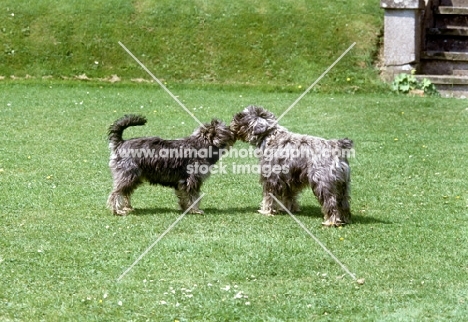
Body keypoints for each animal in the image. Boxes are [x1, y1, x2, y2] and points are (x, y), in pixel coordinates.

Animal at [108, 114, 236, 215]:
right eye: (226, 130)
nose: (233, 131)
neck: (201, 145)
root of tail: (121, 143)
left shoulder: (182, 182)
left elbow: (184, 197)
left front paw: (186, 208)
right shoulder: (191, 180)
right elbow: (193, 197)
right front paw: (195, 210)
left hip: (133, 178)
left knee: (125, 193)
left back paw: (126, 208)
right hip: (128, 176)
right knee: (116, 193)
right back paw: (118, 211)